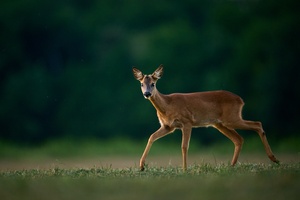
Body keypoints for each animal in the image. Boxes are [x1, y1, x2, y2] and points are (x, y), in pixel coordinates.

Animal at [132, 65, 278, 171]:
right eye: (141, 84)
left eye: (153, 84)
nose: (147, 94)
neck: (167, 106)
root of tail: (241, 100)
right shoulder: (168, 126)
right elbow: (151, 137)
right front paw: (141, 166)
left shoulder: (187, 122)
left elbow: (184, 146)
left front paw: (185, 169)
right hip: (220, 124)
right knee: (239, 139)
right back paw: (232, 166)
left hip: (232, 118)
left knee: (257, 124)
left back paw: (274, 159)